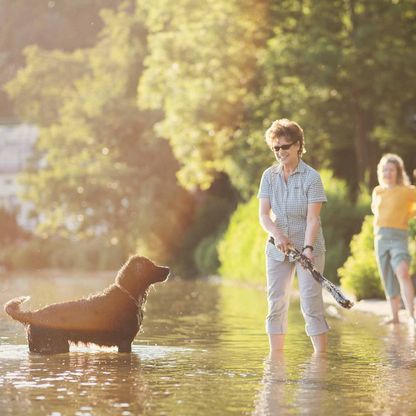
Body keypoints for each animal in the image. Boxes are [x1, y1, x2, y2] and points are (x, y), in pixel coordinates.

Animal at [3, 255, 169, 352]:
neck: (129, 294)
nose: (168, 268)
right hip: (53, 345)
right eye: (152, 265)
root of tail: (34, 315)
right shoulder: (125, 342)